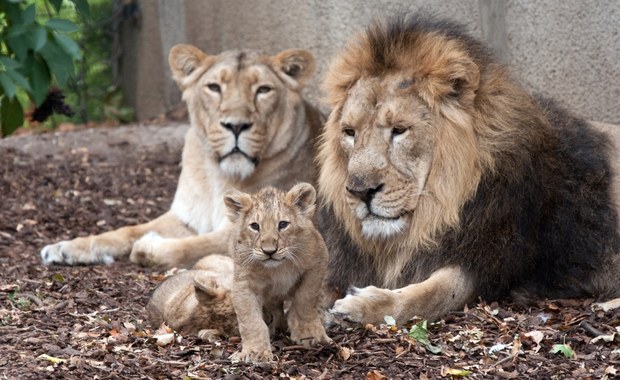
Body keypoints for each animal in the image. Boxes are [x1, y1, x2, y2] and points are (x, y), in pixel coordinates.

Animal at [39, 44, 322, 268]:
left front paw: (148, 246)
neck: (219, 176)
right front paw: (67, 248)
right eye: (214, 87)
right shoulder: (185, 217)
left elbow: (193, 246)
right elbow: (127, 230)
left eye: (263, 90)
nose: (236, 126)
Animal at [320, 14, 620, 324]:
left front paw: (363, 305)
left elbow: (432, 294)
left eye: (399, 130)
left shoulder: (489, 263)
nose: (360, 191)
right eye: (350, 132)